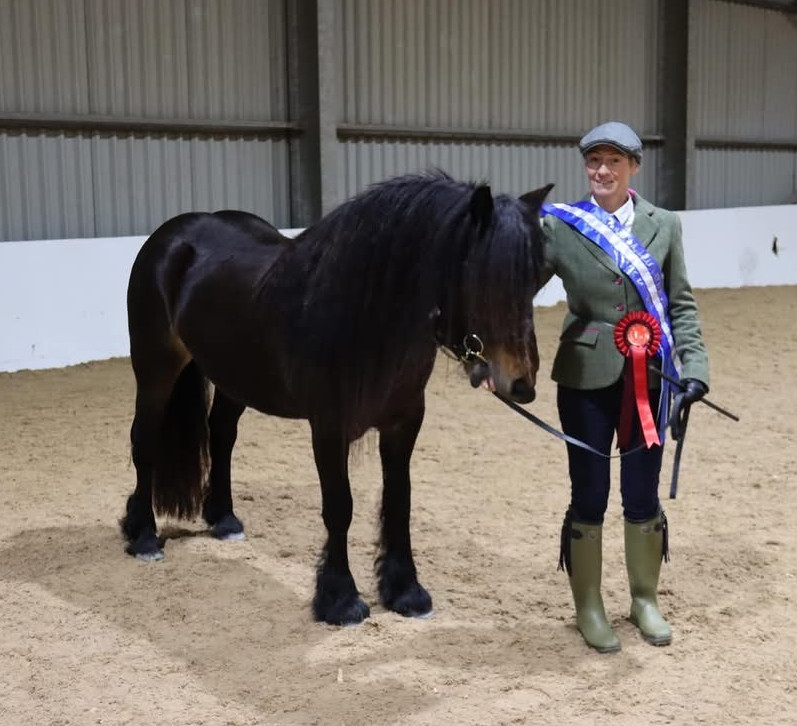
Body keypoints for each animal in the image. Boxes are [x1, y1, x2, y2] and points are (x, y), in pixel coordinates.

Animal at [121, 170, 553, 626]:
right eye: (481, 276)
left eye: (538, 278)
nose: (522, 384)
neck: (365, 317)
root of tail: (174, 236)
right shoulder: (329, 427)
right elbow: (339, 506)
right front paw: (340, 599)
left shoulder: (404, 422)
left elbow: (399, 502)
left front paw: (406, 592)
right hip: (155, 367)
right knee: (145, 442)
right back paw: (144, 536)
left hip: (233, 377)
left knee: (221, 436)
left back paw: (222, 519)